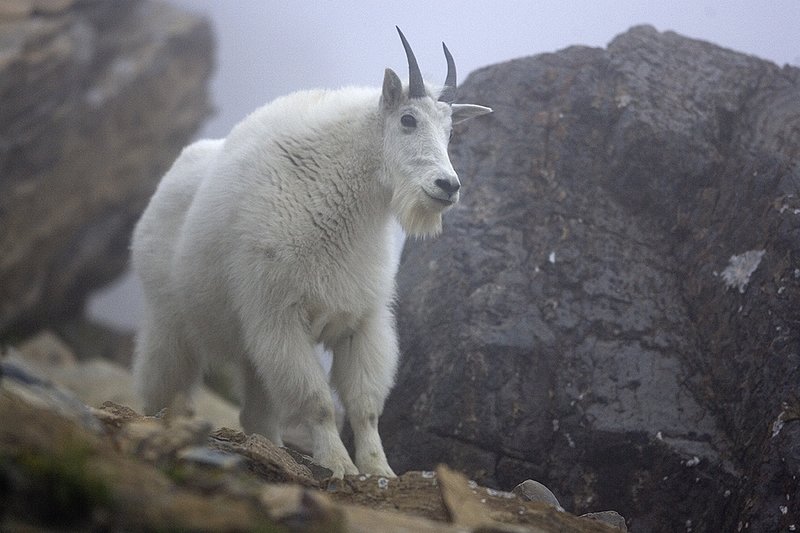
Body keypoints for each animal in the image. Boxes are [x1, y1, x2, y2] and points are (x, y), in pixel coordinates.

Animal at [131, 27, 491, 478]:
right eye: (408, 120)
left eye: (450, 132)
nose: (448, 186)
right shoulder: (281, 316)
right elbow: (318, 400)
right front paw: (339, 465)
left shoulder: (361, 321)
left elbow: (365, 406)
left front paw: (379, 470)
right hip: (169, 322)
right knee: (161, 385)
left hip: (249, 348)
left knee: (257, 412)